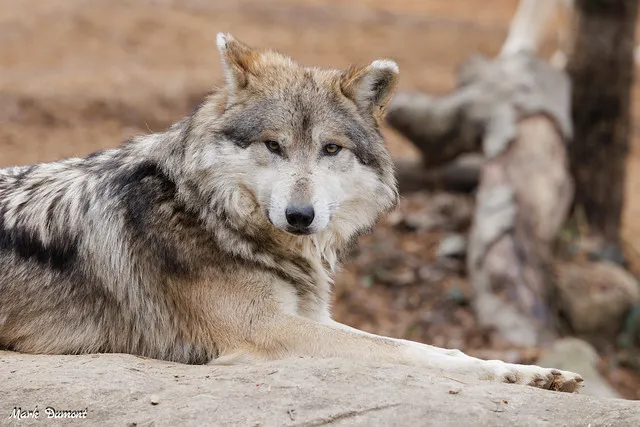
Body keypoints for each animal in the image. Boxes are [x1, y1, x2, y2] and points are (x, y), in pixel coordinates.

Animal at [0, 33, 582, 392]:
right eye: (273, 145)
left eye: (330, 149)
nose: (300, 216)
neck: (211, 216)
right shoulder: (270, 332)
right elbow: (410, 350)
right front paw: (504, 374)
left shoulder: (308, 317)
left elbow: (426, 345)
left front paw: (531, 374)